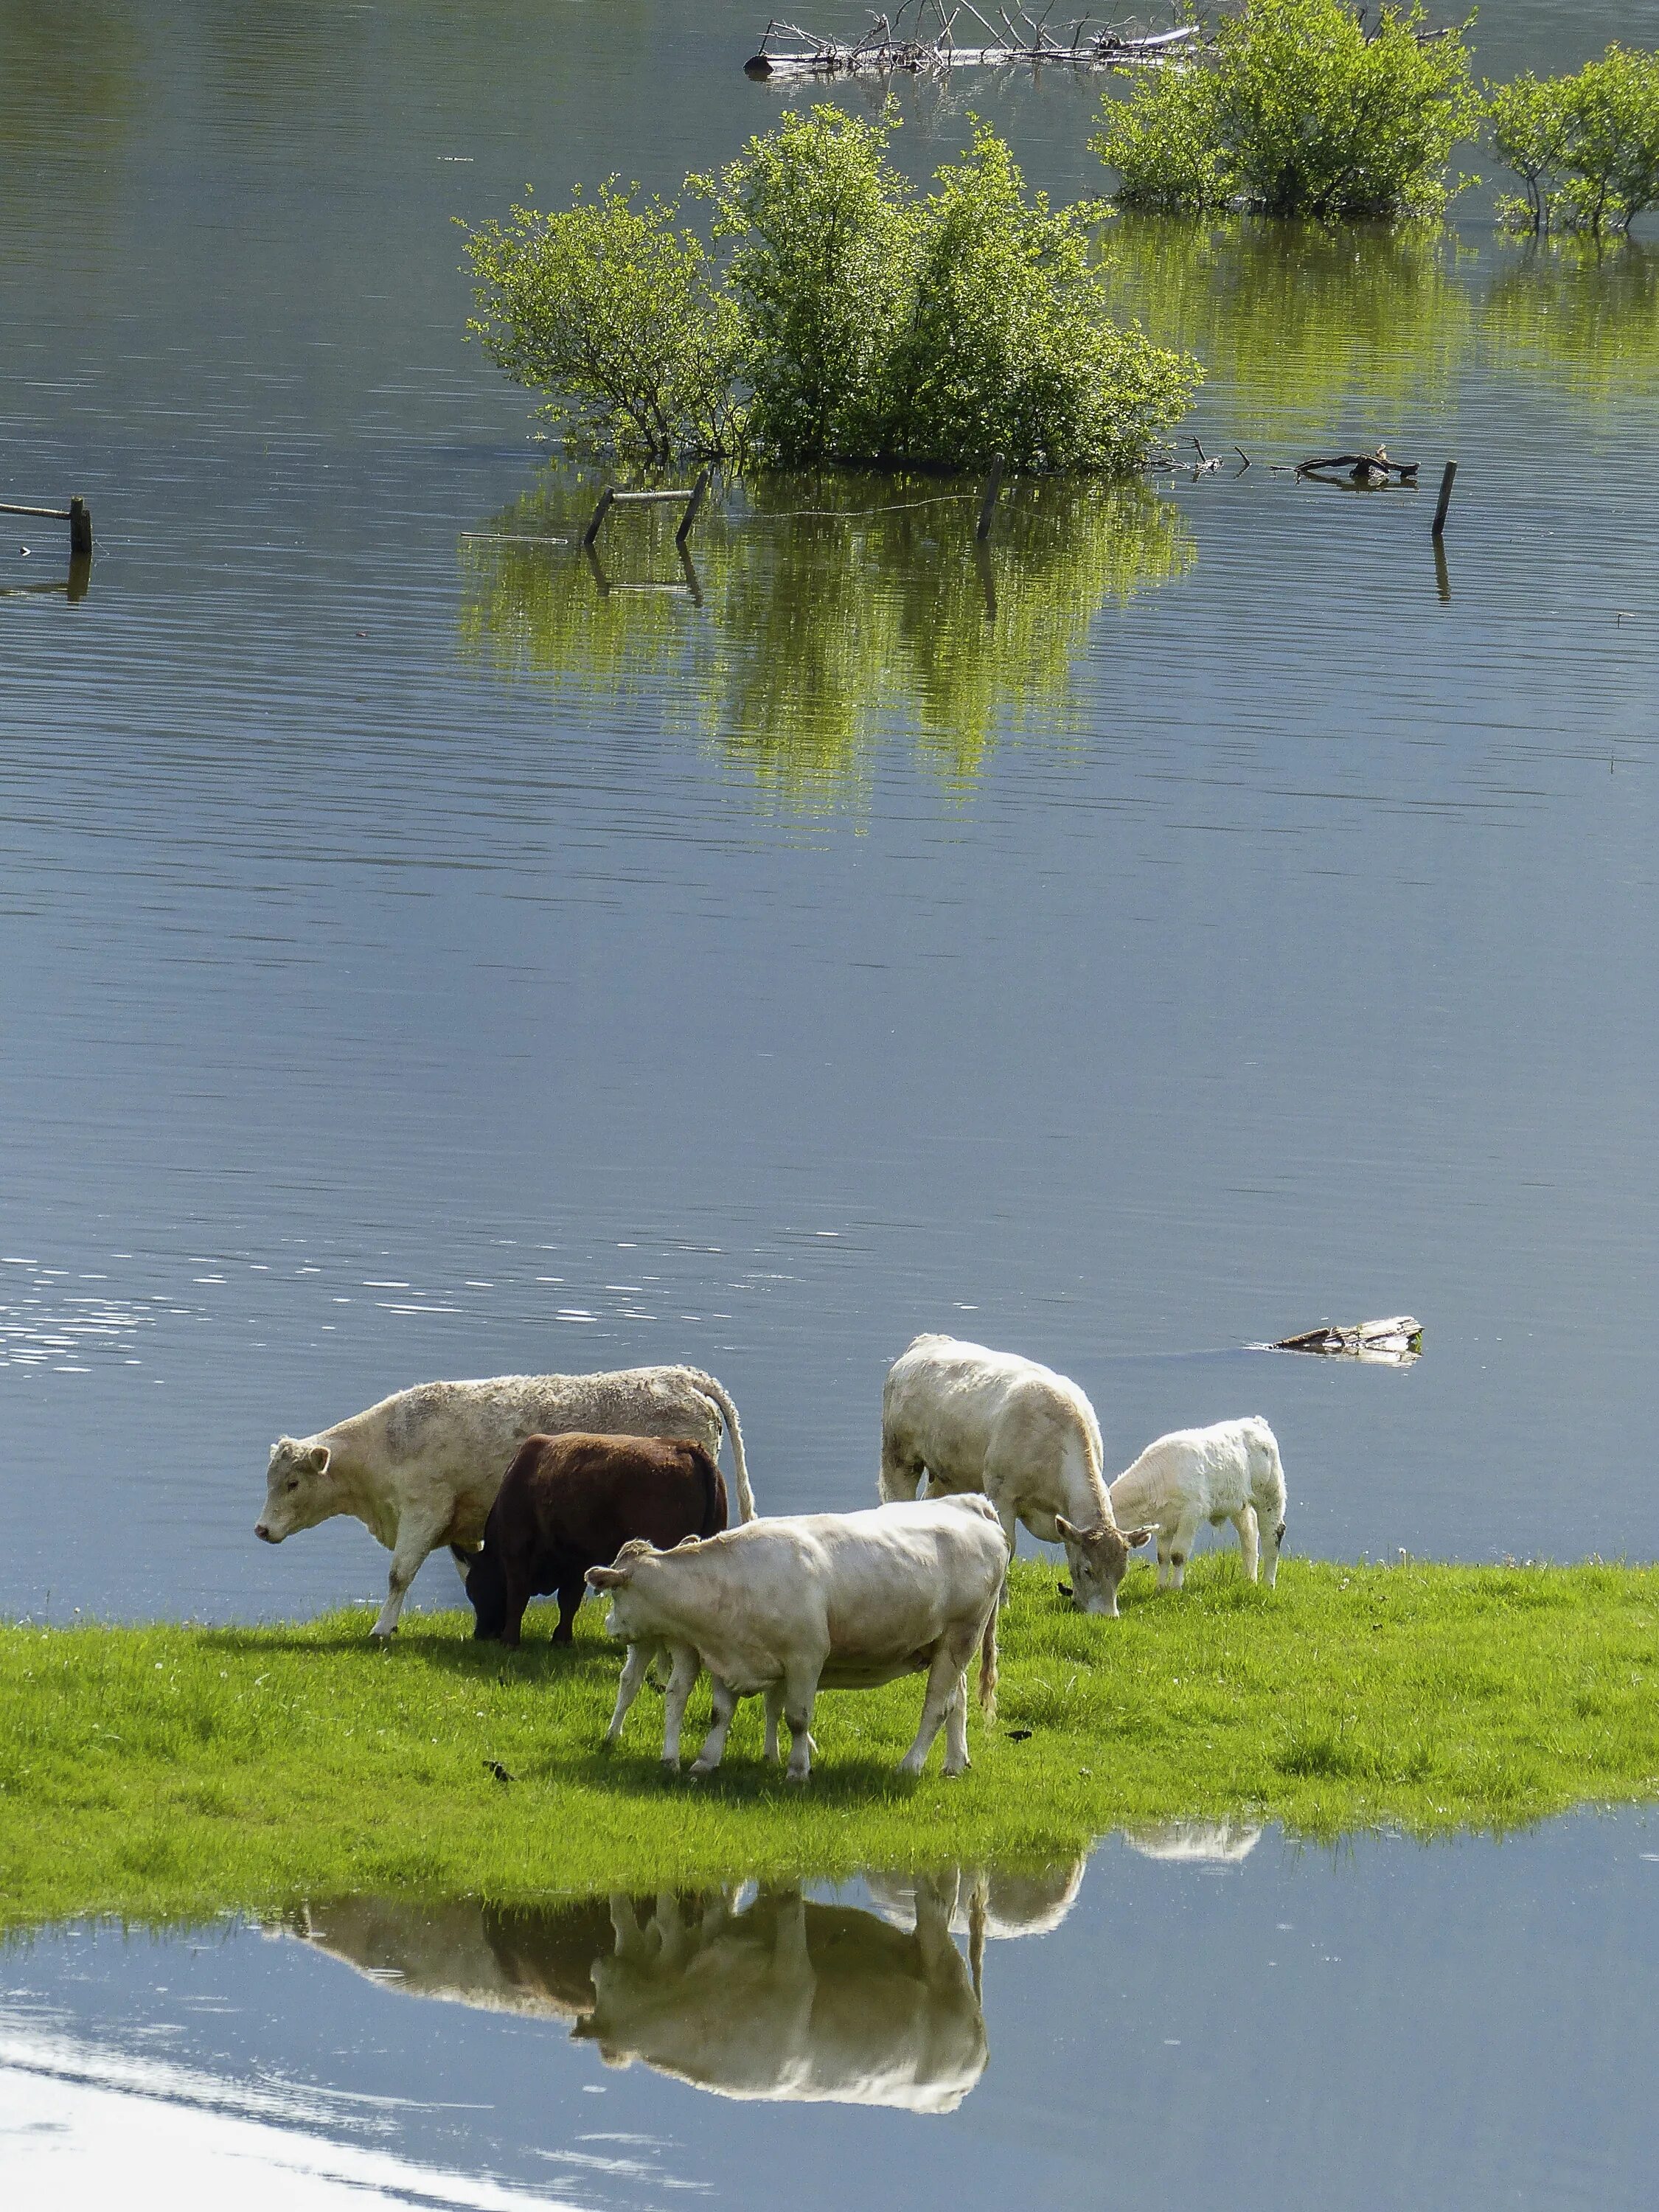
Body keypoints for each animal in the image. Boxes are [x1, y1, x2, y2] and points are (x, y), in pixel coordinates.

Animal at [465, 1433, 730, 1646]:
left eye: (475, 1588)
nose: (481, 1635)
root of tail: (684, 1446)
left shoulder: (517, 1549)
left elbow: (517, 1596)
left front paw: (510, 1641)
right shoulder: (577, 1560)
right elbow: (569, 1601)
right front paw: (562, 1640)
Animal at [593, 1486, 1009, 1778]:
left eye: (613, 1592)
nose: (609, 1625)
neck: (734, 1579)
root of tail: (968, 1502)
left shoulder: (806, 1658)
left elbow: (797, 1718)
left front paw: (797, 1770)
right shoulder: (726, 1655)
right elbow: (719, 1713)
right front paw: (706, 1762)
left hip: (961, 1635)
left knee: (937, 1705)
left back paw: (911, 1764)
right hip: (946, 1644)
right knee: (958, 1698)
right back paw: (954, 1762)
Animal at [885, 1327, 1159, 1628]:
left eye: (1123, 1572)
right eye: (1088, 1570)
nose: (1107, 1616)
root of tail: (927, 1340)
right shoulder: (1001, 1492)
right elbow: (1008, 1547)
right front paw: (1003, 1602)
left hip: (950, 1474)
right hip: (899, 1454)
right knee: (895, 1496)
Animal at [1110, 1416, 1292, 1593]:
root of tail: (1256, 1422)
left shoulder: (1191, 1513)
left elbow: (1178, 1554)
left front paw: (1175, 1588)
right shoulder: (1164, 1522)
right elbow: (1162, 1556)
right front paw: (1161, 1588)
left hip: (1271, 1492)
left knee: (1272, 1534)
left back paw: (1267, 1584)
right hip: (1239, 1502)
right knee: (1249, 1532)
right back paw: (1249, 1579)